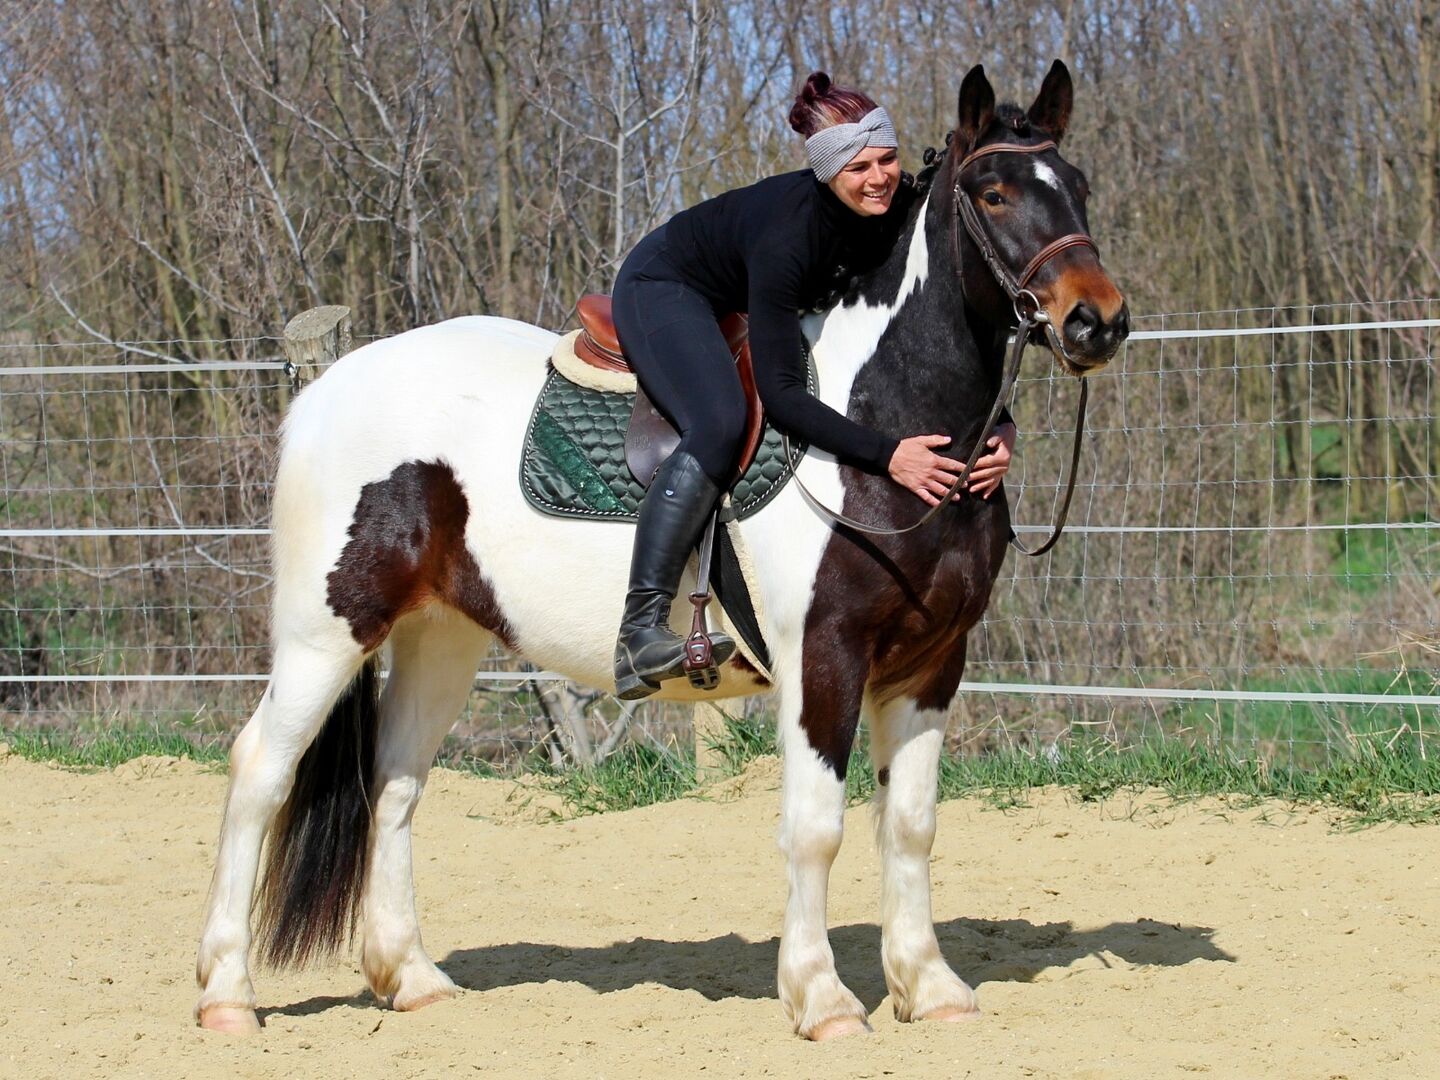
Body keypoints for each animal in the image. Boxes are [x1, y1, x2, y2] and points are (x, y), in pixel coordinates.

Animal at [195, 60, 1129, 1041]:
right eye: (994, 192)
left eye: (1078, 185)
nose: (1098, 321)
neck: (877, 426)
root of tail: (326, 390)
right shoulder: (823, 660)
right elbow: (817, 826)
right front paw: (823, 998)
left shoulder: (931, 663)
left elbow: (910, 824)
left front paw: (931, 986)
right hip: (326, 633)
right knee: (259, 772)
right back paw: (228, 995)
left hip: (440, 638)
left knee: (396, 784)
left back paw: (411, 978)